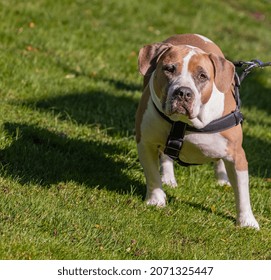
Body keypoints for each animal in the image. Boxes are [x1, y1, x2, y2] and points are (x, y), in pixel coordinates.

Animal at [137, 33, 260, 230]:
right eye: (169, 69)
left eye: (202, 76)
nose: (183, 92)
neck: (185, 123)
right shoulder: (145, 141)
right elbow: (152, 174)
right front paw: (156, 199)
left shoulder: (237, 155)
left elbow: (243, 192)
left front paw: (247, 221)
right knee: (165, 155)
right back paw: (168, 177)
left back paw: (222, 178)